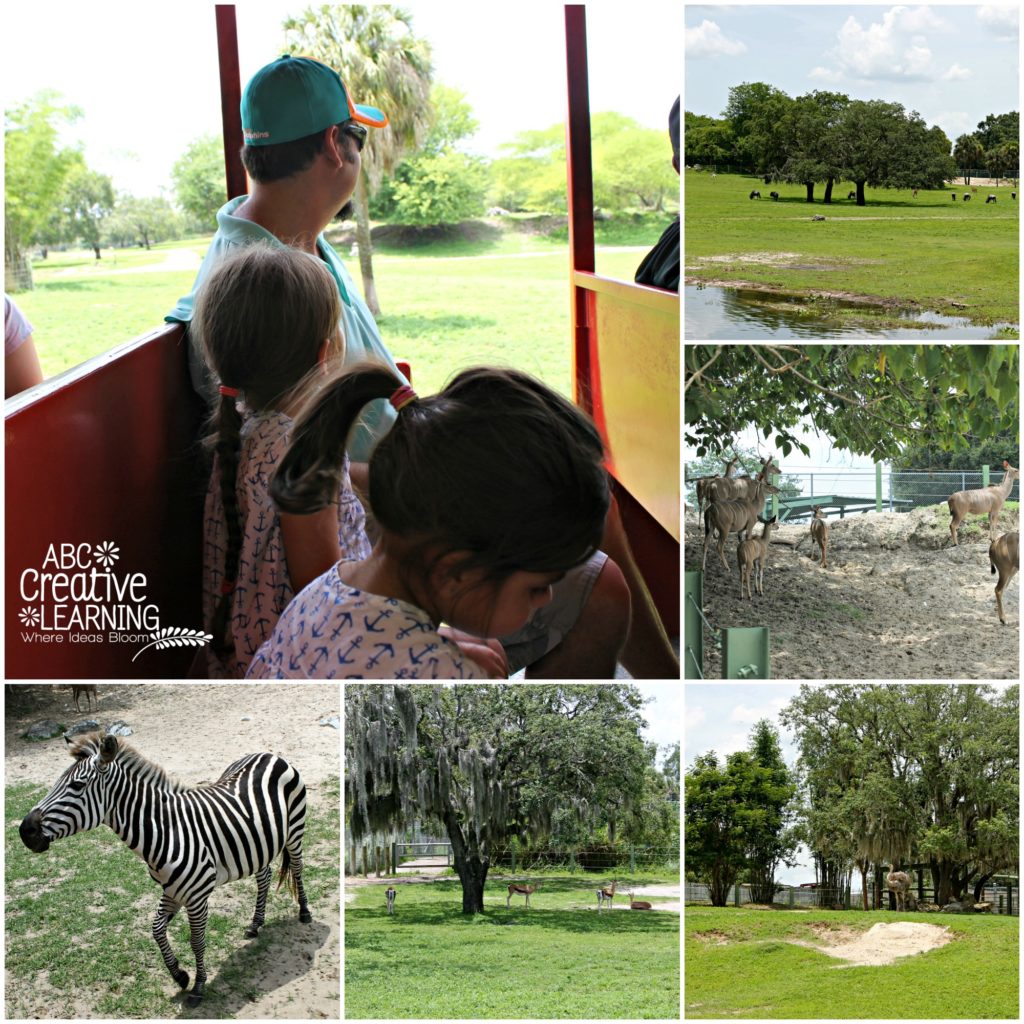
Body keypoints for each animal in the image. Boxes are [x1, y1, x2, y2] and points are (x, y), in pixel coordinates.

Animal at [17, 737, 311, 1007]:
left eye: (77, 786)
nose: (24, 831)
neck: (166, 832)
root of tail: (268, 754)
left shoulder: (197, 896)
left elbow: (196, 941)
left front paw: (198, 986)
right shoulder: (172, 889)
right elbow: (156, 929)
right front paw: (180, 975)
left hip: (295, 830)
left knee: (297, 867)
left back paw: (305, 913)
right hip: (258, 845)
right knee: (264, 876)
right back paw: (255, 923)